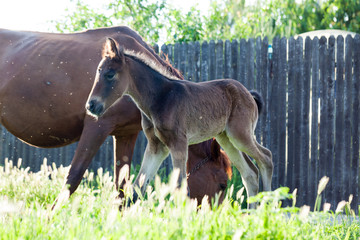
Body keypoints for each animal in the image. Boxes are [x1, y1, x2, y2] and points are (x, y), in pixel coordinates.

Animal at [0, 26, 231, 208]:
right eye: (223, 184)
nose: (213, 216)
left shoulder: (125, 134)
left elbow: (122, 187)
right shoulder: (96, 127)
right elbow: (73, 177)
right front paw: (50, 219)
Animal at [87, 38, 272, 208]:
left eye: (110, 75)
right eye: (98, 72)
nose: (91, 105)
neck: (160, 97)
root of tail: (248, 94)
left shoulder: (178, 142)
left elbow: (181, 188)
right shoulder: (157, 145)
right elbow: (137, 187)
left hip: (240, 134)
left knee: (266, 158)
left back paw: (268, 207)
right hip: (226, 138)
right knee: (250, 173)